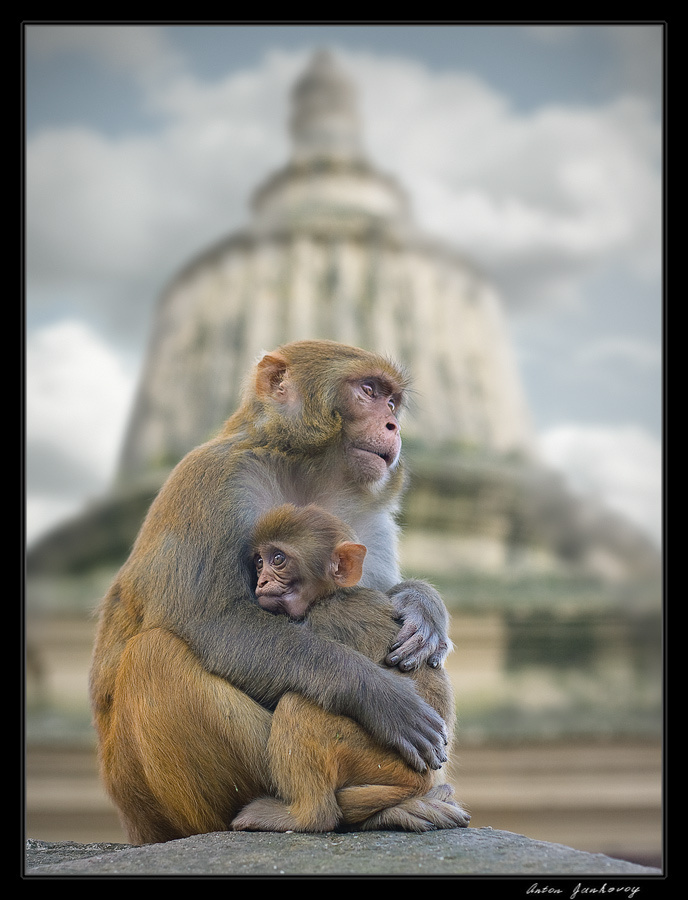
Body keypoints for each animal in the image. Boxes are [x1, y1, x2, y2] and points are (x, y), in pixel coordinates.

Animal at [230, 503, 469, 833]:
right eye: (259, 561)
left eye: (278, 559)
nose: (261, 582)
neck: (331, 595)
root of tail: (424, 780)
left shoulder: (327, 618)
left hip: (379, 758)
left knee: (297, 707)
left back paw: (305, 816)